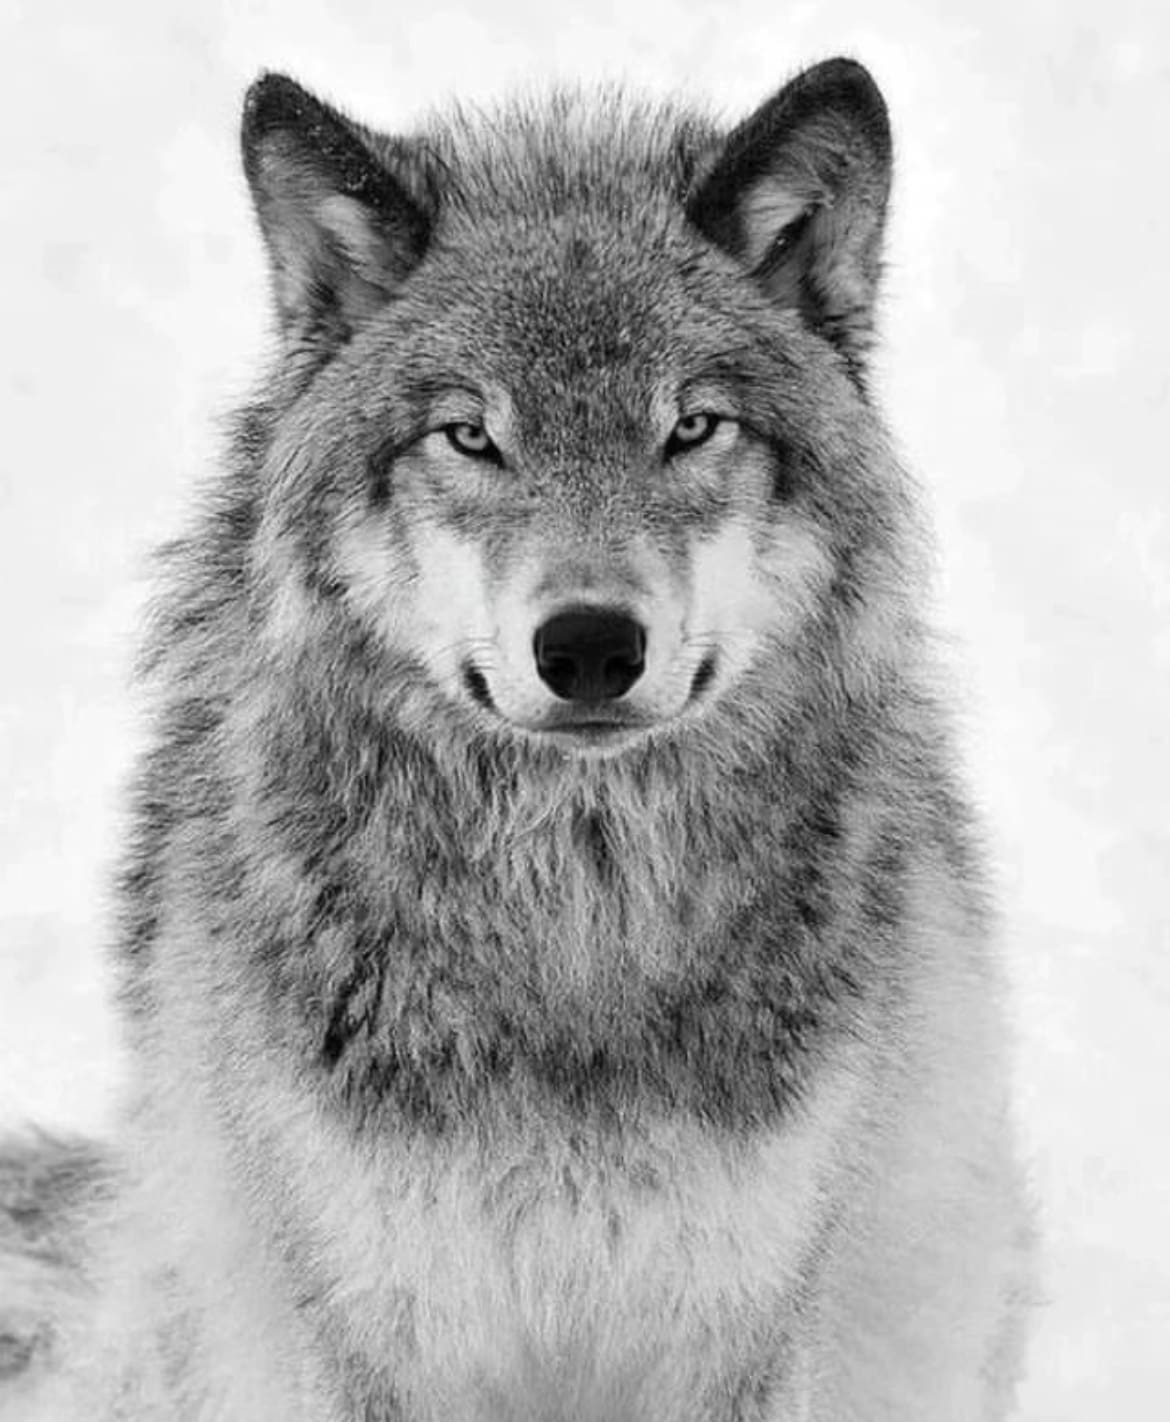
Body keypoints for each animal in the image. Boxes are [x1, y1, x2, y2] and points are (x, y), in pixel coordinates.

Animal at [0, 57, 1033, 1420]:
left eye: (692, 427)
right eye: (472, 434)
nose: (589, 645)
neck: (572, 929)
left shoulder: (740, 1326)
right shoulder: (371, 1324)